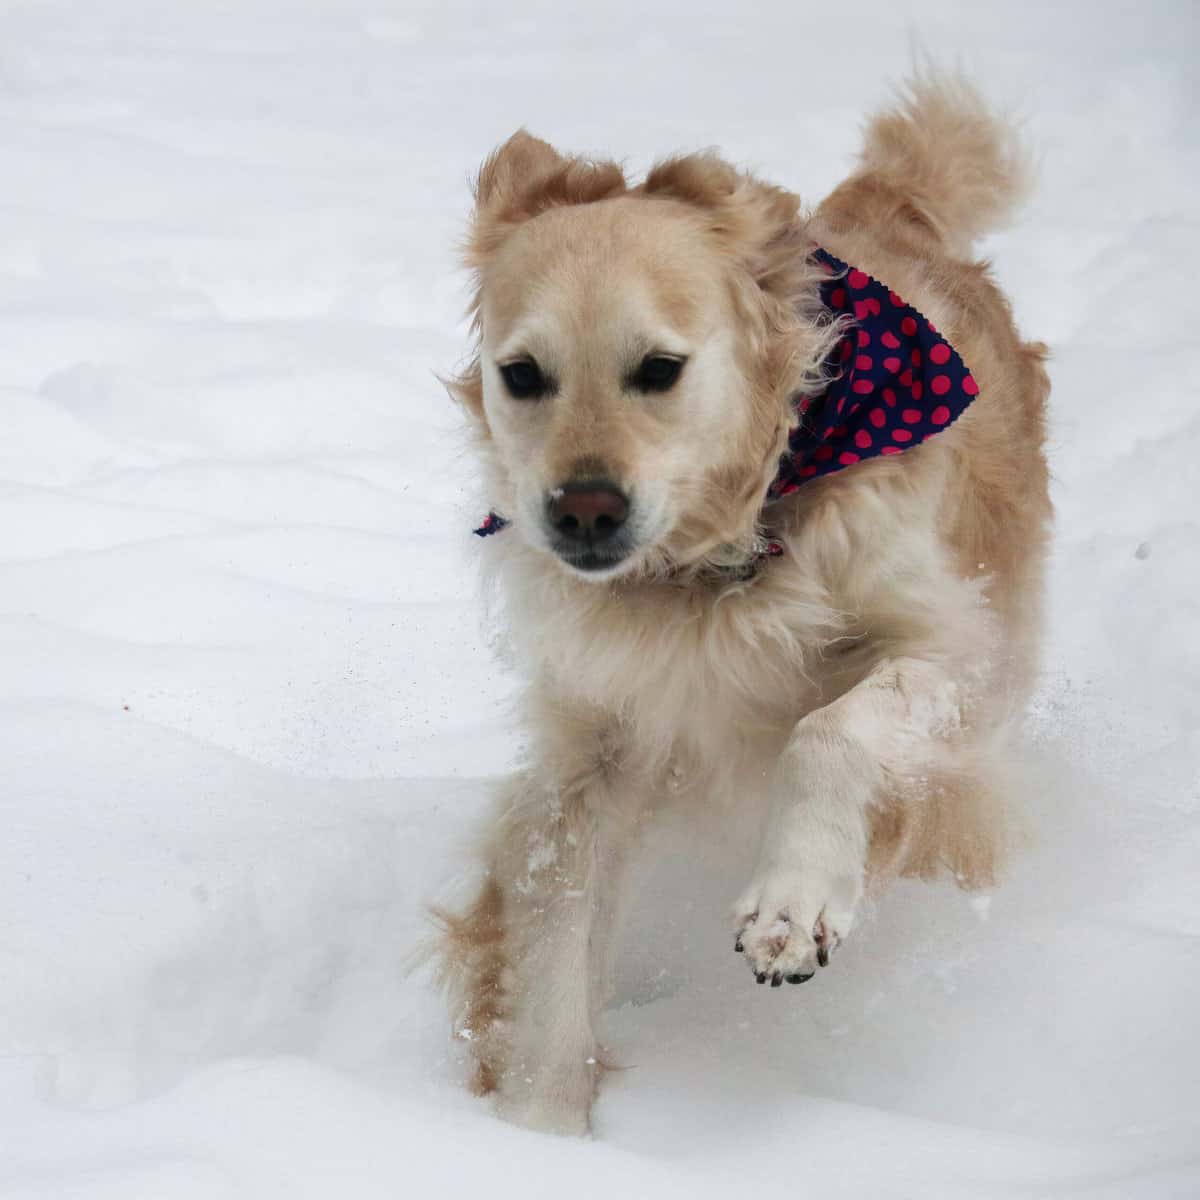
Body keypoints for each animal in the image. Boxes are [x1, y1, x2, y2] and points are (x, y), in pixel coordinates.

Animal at [434, 72, 1051, 1132]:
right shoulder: (594, 740)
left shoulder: (955, 652)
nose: (582, 512)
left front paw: (792, 903)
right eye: (522, 375)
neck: (715, 566)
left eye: (659, 368)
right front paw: (538, 1128)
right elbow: (553, 936)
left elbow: (830, 731)